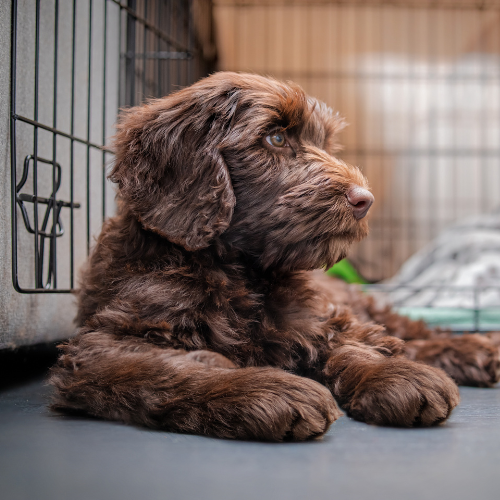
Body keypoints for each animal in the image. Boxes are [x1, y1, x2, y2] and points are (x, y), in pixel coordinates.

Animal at [49, 71, 492, 442]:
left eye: (324, 144)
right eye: (275, 139)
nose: (364, 200)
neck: (238, 270)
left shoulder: (316, 315)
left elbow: (349, 343)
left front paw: (390, 374)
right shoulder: (102, 346)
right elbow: (174, 366)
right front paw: (267, 391)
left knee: (411, 332)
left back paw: (480, 350)